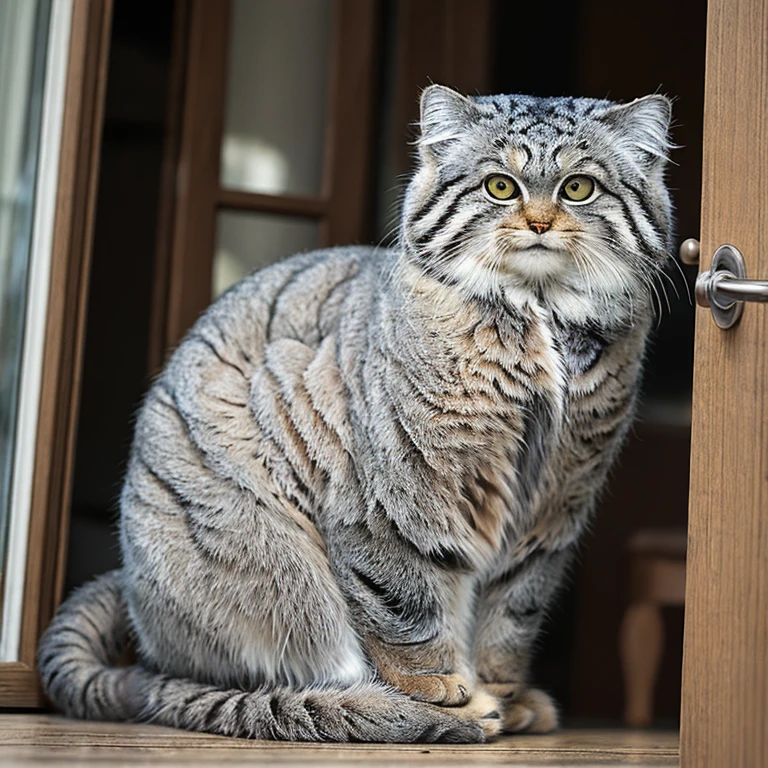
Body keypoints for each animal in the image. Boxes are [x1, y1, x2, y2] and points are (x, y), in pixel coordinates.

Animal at [39, 85, 668, 744]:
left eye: (578, 188)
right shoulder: (388, 498)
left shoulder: (552, 508)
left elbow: (513, 611)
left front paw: (502, 690)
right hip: (285, 575)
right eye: (500, 186)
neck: (539, 321)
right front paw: (441, 691)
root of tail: (151, 660)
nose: (539, 223)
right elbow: (403, 603)